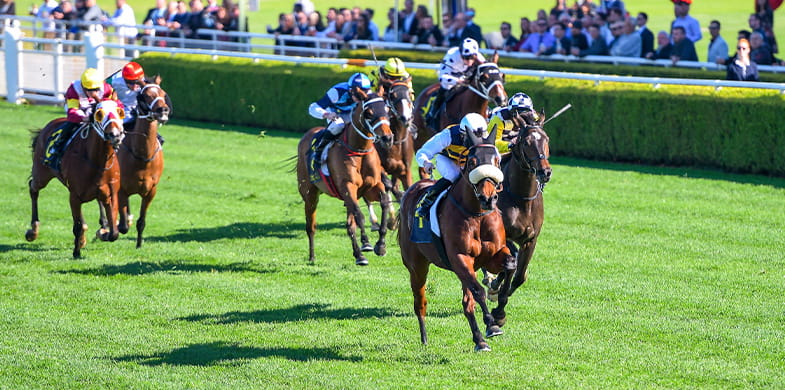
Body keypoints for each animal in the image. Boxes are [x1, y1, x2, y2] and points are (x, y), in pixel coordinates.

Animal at [24, 100, 127, 258]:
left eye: (120, 112)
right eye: (99, 114)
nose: (115, 135)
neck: (97, 160)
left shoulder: (110, 194)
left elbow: (114, 233)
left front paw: (103, 232)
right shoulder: (75, 196)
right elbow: (77, 226)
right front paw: (77, 251)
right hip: (41, 174)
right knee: (33, 188)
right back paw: (33, 230)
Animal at [116, 77, 170, 247]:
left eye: (163, 94)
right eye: (145, 96)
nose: (163, 110)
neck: (142, 156)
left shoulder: (151, 190)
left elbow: (141, 221)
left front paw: (139, 244)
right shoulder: (121, 190)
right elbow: (123, 226)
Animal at [294, 89, 392, 266]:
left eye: (387, 110)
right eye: (369, 113)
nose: (387, 138)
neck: (359, 150)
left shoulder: (372, 187)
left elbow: (384, 203)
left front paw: (380, 245)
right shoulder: (347, 187)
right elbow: (359, 217)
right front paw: (364, 249)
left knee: (349, 221)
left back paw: (361, 248)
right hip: (310, 194)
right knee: (311, 226)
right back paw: (312, 256)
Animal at [398, 129, 516, 354]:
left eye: (497, 160)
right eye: (472, 161)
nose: (489, 198)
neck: (476, 213)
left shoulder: (493, 256)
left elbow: (510, 266)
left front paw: (497, 299)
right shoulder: (460, 258)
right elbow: (478, 291)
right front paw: (491, 323)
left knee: (466, 302)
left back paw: (479, 340)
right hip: (417, 266)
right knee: (420, 300)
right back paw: (424, 337)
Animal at [484, 113, 552, 330]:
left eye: (546, 139)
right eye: (527, 142)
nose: (545, 172)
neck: (521, 198)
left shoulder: (531, 239)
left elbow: (520, 276)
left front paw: (499, 300)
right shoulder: (502, 235)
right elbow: (511, 263)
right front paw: (499, 310)